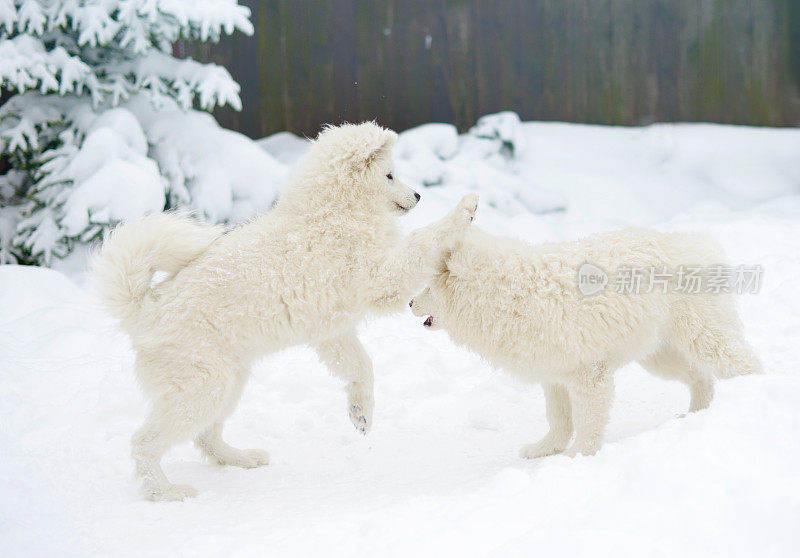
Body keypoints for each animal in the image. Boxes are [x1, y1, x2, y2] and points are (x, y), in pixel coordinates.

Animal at [96, 122, 478, 504]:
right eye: (389, 175)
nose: (418, 196)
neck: (335, 213)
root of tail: (145, 307)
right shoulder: (381, 280)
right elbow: (422, 239)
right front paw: (463, 210)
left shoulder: (333, 331)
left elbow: (362, 367)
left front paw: (361, 413)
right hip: (201, 388)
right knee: (144, 443)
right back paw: (165, 492)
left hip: (228, 382)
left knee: (205, 436)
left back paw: (242, 459)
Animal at [412, 226, 764, 460]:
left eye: (427, 287)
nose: (410, 304)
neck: (507, 292)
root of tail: (700, 241)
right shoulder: (555, 378)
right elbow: (559, 422)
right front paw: (544, 450)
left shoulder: (589, 375)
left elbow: (587, 423)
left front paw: (579, 458)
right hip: (660, 356)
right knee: (702, 379)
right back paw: (695, 417)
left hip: (705, 336)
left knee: (746, 364)